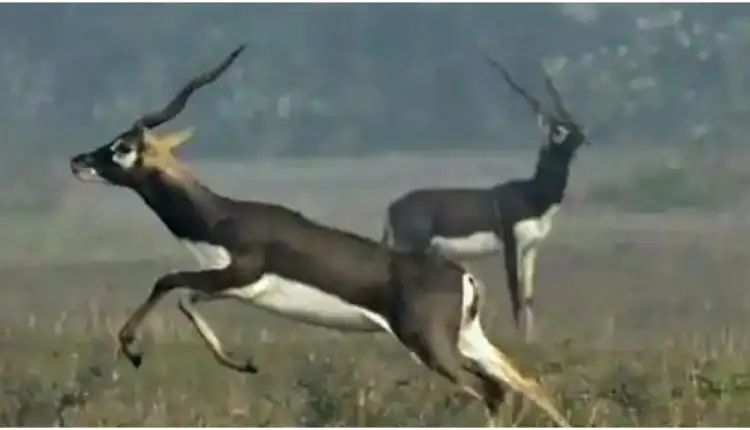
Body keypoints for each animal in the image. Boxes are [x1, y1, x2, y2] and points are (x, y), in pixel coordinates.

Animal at [382, 56, 589, 343]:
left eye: (573, 124)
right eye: (559, 130)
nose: (584, 137)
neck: (530, 194)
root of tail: (392, 206)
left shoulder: (532, 248)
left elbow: (528, 296)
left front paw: (531, 340)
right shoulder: (511, 245)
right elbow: (514, 292)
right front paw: (518, 339)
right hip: (410, 246)